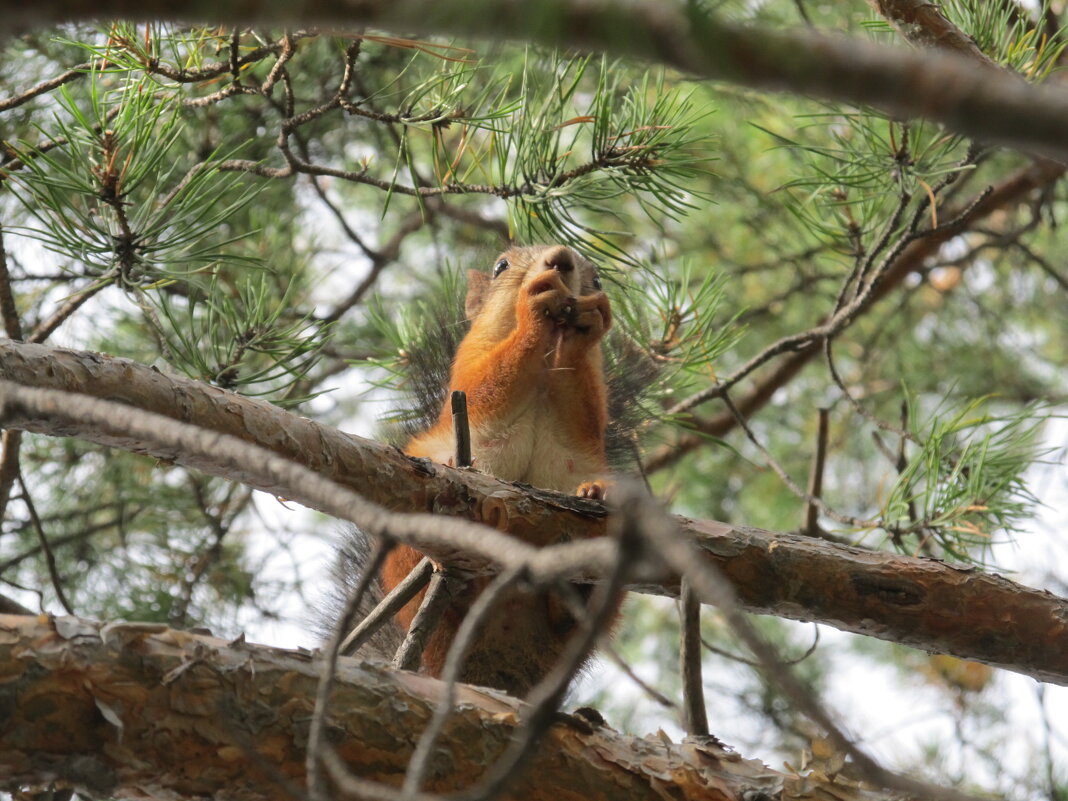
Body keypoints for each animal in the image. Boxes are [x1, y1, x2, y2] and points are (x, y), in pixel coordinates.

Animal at [371, 243, 615, 696]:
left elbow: (588, 414)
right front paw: (534, 303)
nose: (559, 257)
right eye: (502, 265)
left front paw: (588, 324)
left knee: (566, 620)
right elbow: (488, 382)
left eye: (598, 279)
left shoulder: (589, 418)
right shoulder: (469, 367)